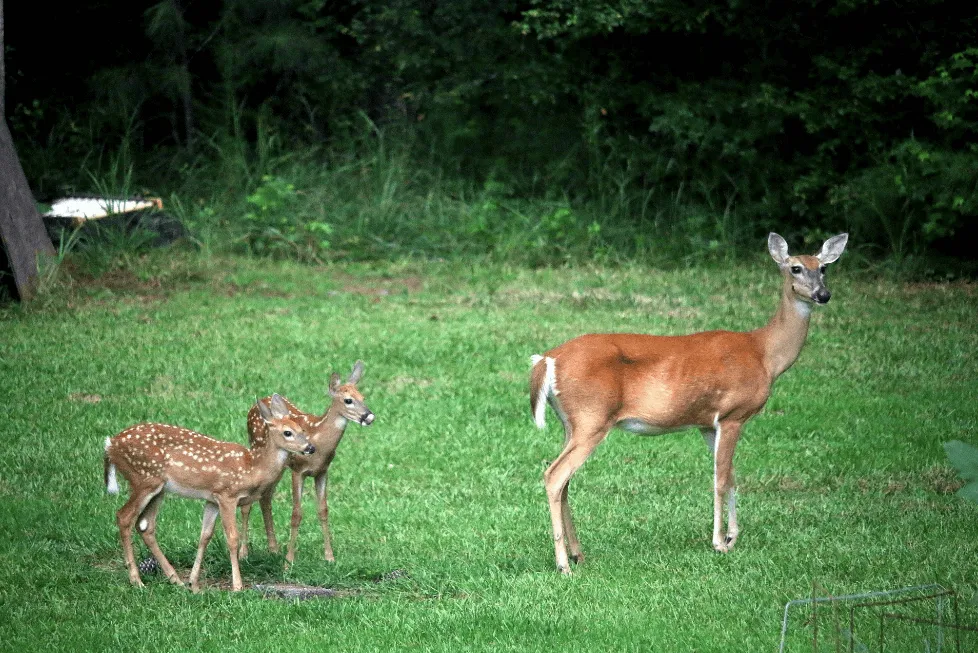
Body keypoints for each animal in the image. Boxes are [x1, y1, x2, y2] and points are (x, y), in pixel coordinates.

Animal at [102, 392, 312, 592]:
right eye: (287, 432)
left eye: (303, 430)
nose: (310, 447)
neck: (252, 469)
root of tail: (110, 445)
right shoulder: (227, 495)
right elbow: (232, 538)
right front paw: (237, 586)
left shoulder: (212, 499)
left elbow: (205, 536)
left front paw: (193, 583)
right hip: (144, 479)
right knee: (124, 517)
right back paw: (137, 581)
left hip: (158, 488)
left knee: (145, 525)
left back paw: (176, 580)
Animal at [239, 360, 374, 564]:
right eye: (348, 400)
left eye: (362, 396)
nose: (369, 416)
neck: (319, 440)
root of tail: (253, 407)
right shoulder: (298, 470)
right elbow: (296, 513)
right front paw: (289, 561)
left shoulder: (322, 471)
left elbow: (323, 510)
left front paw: (329, 557)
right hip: (258, 448)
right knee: (250, 502)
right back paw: (244, 553)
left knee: (266, 497)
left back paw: (273, 549)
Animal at [528, 233, 848, 572]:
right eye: (795, 268)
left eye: (824, 267)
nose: (823, 294)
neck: (764, 353)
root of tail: (547, 360)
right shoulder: (733, 414)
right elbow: (720, 479)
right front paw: (720, 543)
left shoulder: (707, 424)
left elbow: (731, 476)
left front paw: (732, 537)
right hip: (592, 417)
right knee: (555, 475)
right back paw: (563, 564)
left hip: (571, 422)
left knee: (563, 479)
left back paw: (578, 554)